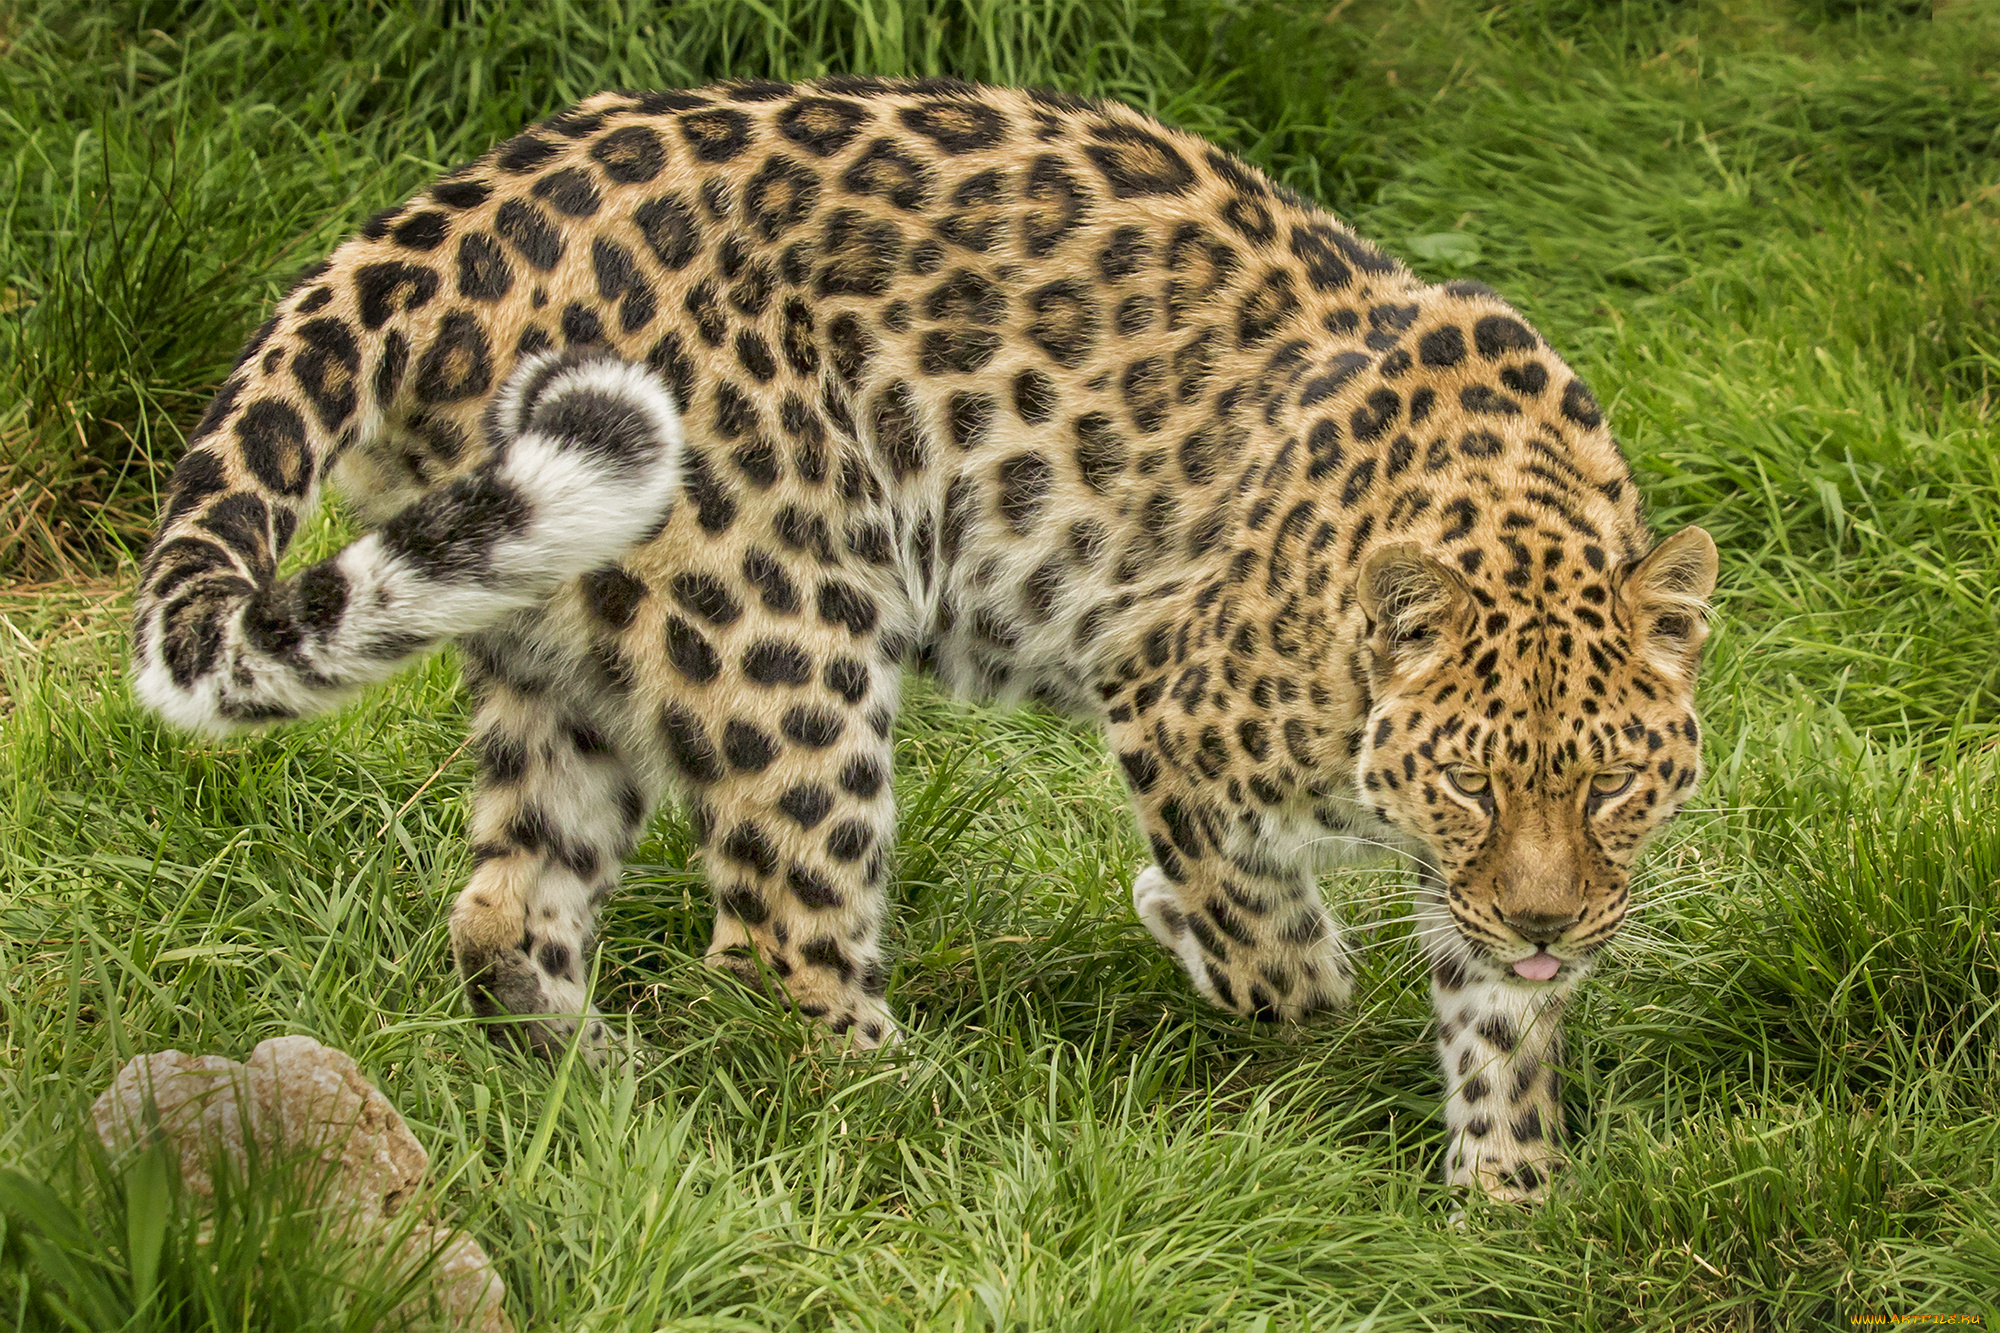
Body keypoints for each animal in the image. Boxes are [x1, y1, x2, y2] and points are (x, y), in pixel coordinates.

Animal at [128, 76, 1719, 1204]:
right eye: (1467, 782)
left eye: (1613, 786)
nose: (1548, 923)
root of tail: (434, 223)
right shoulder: (1166, 697)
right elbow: (1266, 931)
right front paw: (1218, 944)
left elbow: (1497, 1025)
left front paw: (1509, 1197)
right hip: (783, 641)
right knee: (778, 940)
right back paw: (914, 1115)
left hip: (550, 631)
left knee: (509, 905)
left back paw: (610, 1089)